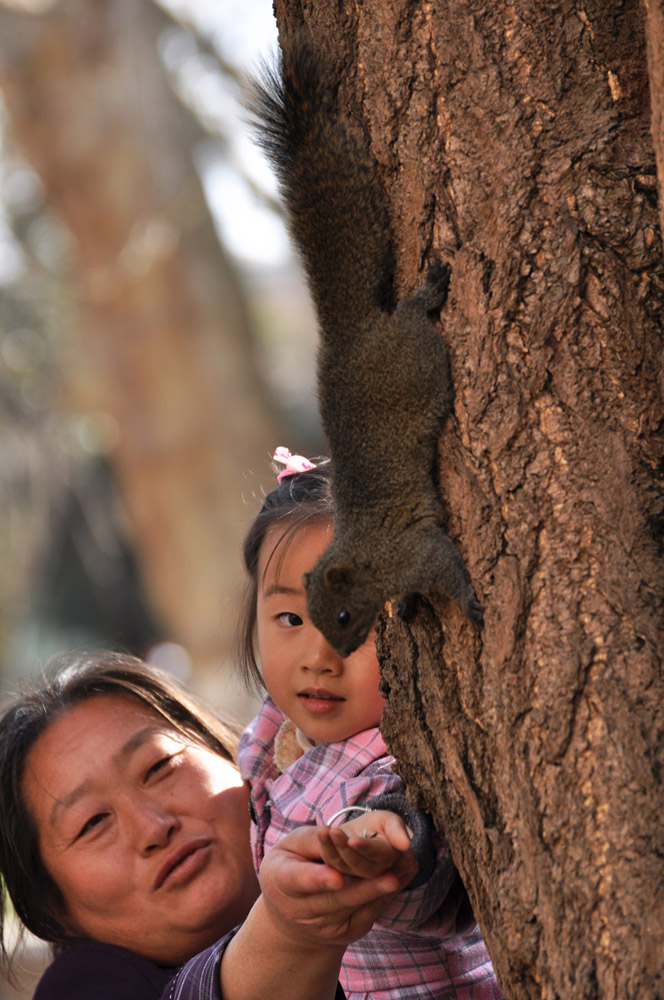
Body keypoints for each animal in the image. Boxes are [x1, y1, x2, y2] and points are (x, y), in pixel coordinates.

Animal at [250, 33, 482, 656]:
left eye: (344, 615)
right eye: (307, 616)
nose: (344, 652)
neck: (367, 558)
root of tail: (349, 336)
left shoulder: (414, 551)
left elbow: (446, 566)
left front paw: (470, 605)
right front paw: (411, 607)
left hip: (416, 356)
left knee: (412, 319)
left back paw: (428, 292)